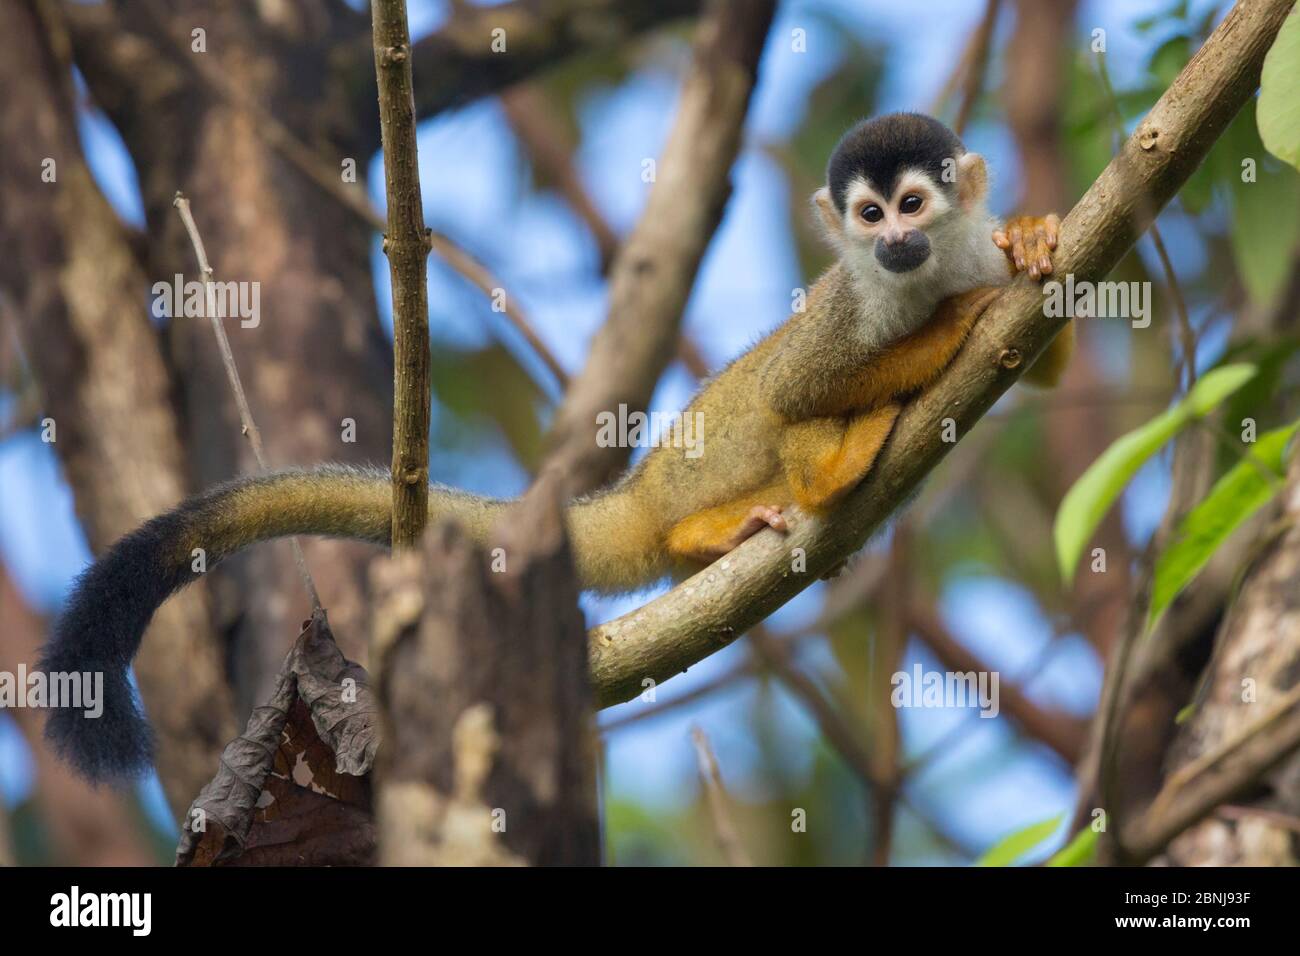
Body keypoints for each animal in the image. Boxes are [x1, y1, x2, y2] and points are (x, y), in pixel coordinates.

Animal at [43, 113, 1076, 785]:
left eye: (913, 203)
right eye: (869, 216)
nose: (895, 240)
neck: (919, 274)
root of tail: (641, 490)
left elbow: (1036, 351)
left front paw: (1031, 240)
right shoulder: (848, 303)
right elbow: (799, 387)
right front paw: (954, 322)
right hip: (705, 463)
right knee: (774, 407)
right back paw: (814, 479)